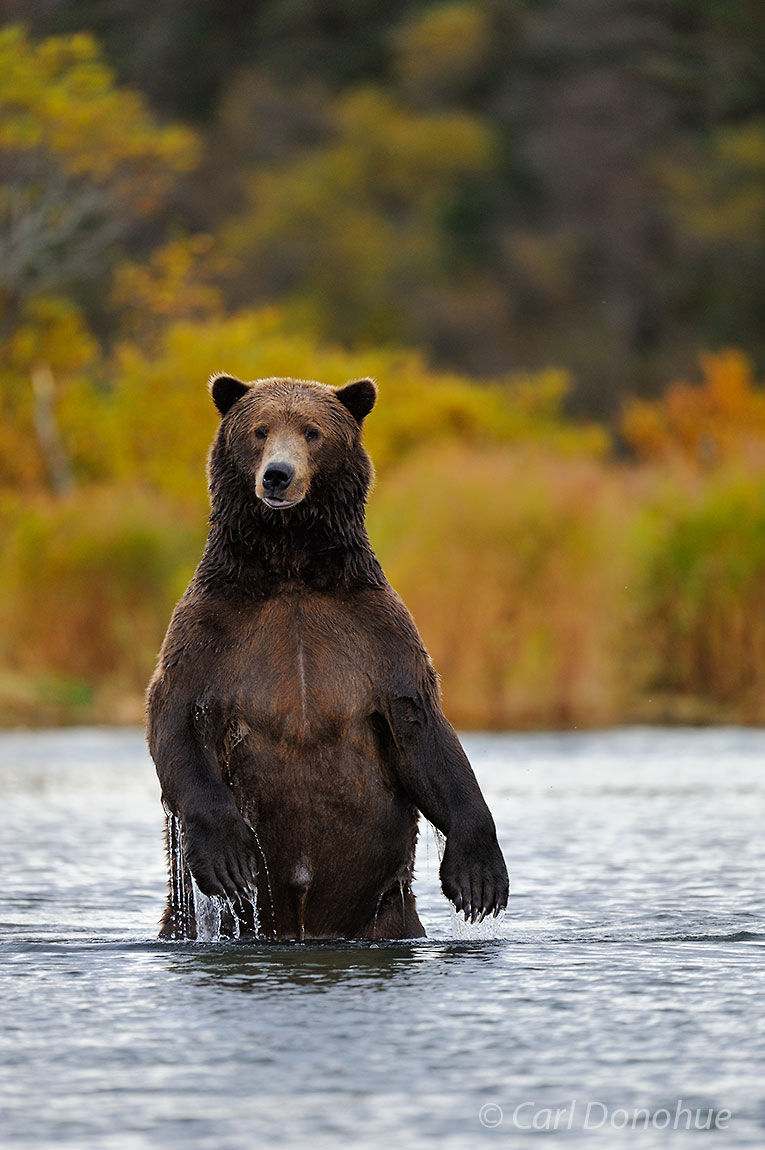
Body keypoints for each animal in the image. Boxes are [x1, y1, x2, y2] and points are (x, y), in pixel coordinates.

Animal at [146, 372, 510, 938]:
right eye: (260, 429)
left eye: (313, 432)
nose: (277, 475)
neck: (290, 565)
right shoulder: (210, 629)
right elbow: (177, 720)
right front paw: (230, 860)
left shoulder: (375, 632)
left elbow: (423, 731)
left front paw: (480, 880)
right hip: (186, 917)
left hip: (390, 912)